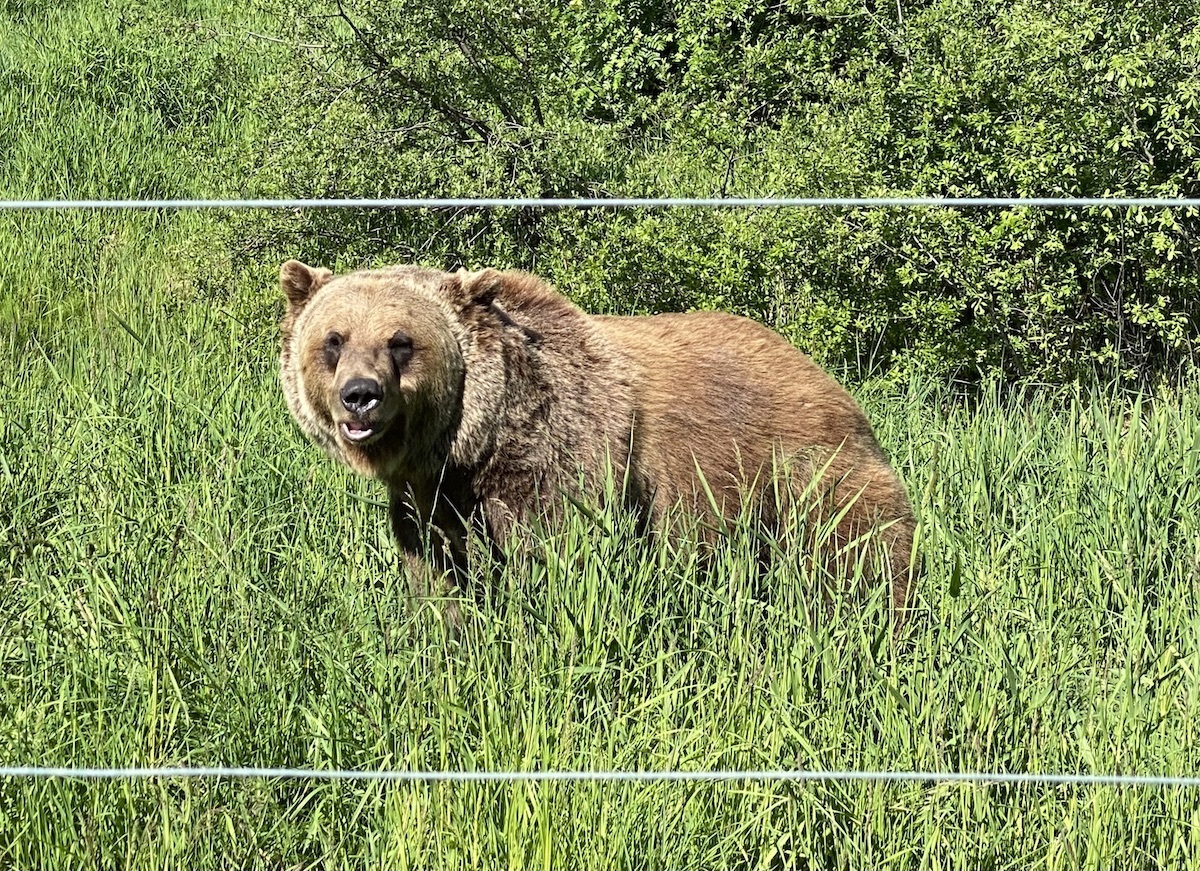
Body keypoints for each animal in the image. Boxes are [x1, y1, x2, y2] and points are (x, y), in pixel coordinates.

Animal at [278, 262, 916, 619]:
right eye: (334, 339)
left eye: (401, 341)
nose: (360, 395)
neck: (475, 442)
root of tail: (827, 378)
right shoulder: (431, 498)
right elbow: (440, 575)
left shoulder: (560, 455)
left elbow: (555, 563)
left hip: (804, 473)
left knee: (861, 559)